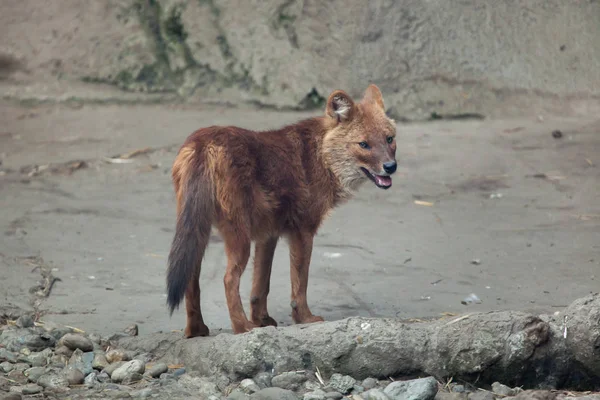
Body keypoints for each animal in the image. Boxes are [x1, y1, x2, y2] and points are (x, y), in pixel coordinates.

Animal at [166, 85, 396, 338]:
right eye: (363, 144)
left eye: (389, 139)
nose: (391, 167)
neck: (320, 156)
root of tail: (202, 143)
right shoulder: (303, 231)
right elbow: (300, 282)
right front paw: (304, 318)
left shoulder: (268, 234)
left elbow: (260, 285)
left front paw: (262, 320)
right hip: (239, 236)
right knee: (228, 279)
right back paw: (241, 327)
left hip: (198, 229)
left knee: (190, 278)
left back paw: (196, 330)